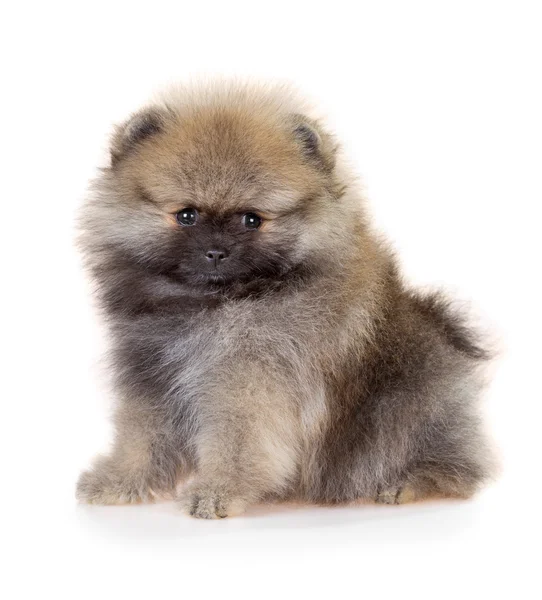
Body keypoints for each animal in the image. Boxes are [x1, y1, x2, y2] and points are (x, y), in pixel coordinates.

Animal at [76, 82, 498, 516]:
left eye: (251, 219)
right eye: (187, 215)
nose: (216, 251)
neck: (214, 306)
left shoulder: (248, 377)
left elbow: (238, 440)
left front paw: (220, 491)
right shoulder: (151, 374)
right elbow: (141, 436)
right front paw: (120, 480)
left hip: (412, 405)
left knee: (452, 466)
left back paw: (408, 484)